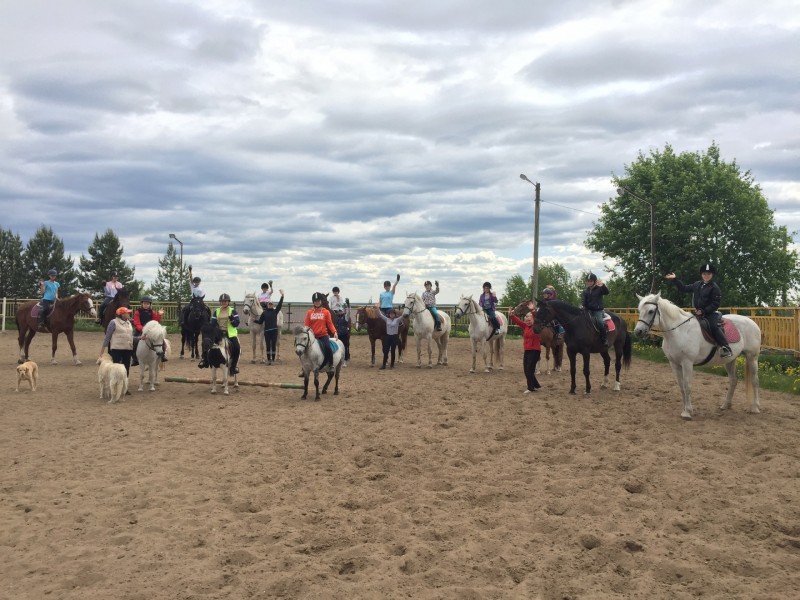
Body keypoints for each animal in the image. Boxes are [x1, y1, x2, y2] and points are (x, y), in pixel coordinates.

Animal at [636, 292, 764, 420]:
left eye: (651, 311)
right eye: (639, 310)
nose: (638, 331)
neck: (679, 331)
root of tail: (752, 322)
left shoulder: (687, 363)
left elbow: (687, 386)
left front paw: (687, 412)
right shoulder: (674, 364)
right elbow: (681, 386)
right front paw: (685, 409)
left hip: (752, 357)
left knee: (755, 381)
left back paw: (755, 407)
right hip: (730, 360)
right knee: (733, 380)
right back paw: (726, 405)